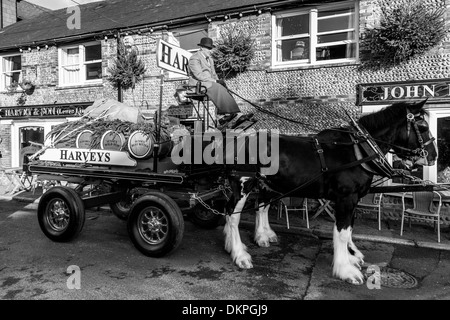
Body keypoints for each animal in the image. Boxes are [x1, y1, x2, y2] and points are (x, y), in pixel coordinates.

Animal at [224, 99, 436, 282]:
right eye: (423, 127)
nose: (433, 156)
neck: (359, 150)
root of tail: (239, 139)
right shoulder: (346, 198)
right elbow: (342, 232)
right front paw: (346, 269)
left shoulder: (353, 199)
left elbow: (348, 228)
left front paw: (352, 256)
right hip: (243, 183)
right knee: (232, 215)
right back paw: (239, 253)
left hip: (269, 185)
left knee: (260, 206)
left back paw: (257, 238)